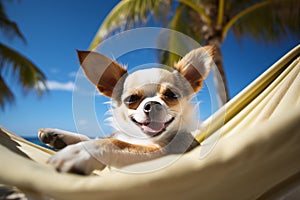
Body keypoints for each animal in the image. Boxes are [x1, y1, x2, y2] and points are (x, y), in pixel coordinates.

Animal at [38, 45, 214, 175]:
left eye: (171, 95)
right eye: (131, 99)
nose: (153, 104)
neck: (140, 137)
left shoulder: (165, 152)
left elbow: (116, 143)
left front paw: (79, 152)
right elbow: (96, 138)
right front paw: (58, 134)